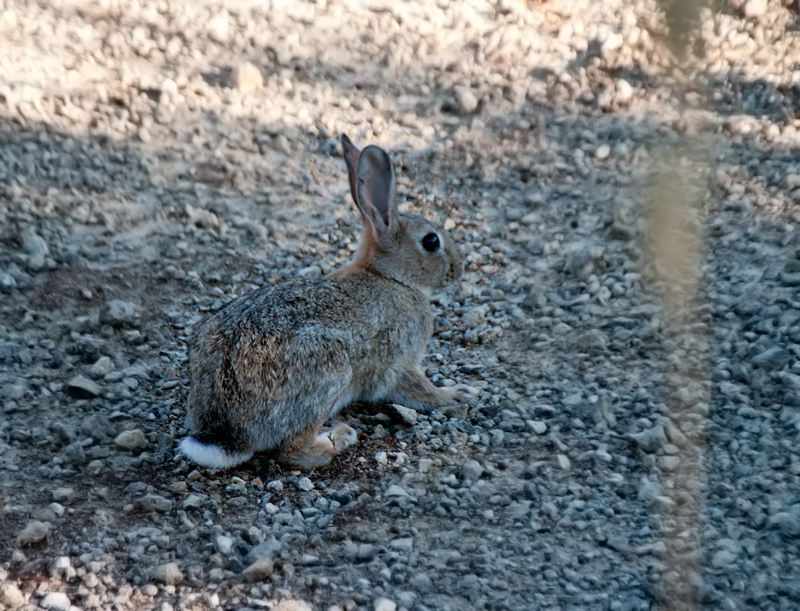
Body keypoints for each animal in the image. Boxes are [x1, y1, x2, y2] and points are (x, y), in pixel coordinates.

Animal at [180, 133, 476, 468]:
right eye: (431, 241)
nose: (460, 267)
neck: (389, 277)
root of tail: (225, 431)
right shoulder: (398, 362)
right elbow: (421, 390)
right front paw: (457, 394)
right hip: (328, 368)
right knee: (292, 451)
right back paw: (338, 439)